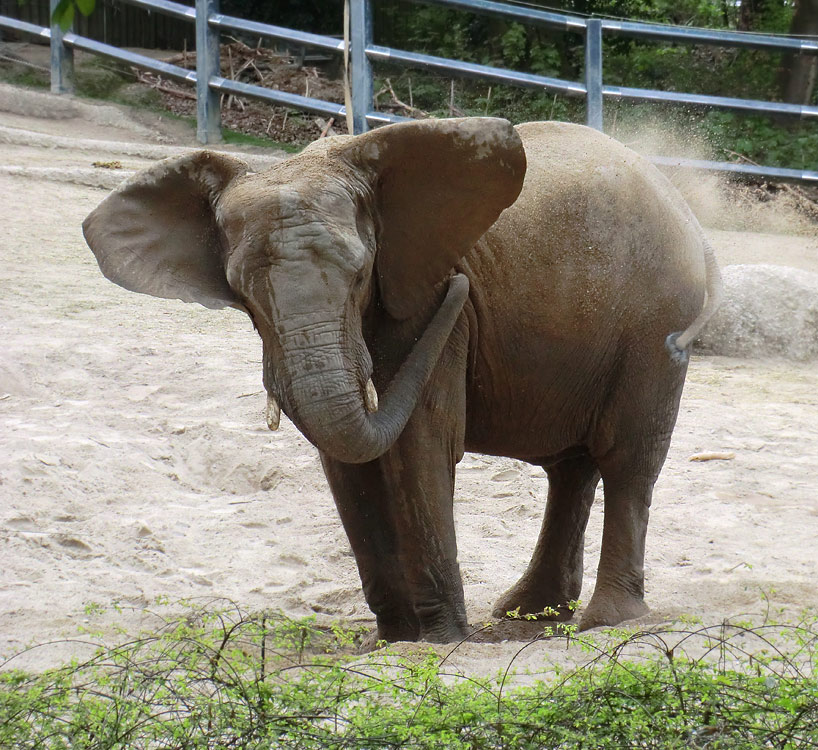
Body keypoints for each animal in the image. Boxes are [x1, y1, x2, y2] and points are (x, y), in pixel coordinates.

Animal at [83, 117, 720, 648]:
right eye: (240, 290)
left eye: (362, 272)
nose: (463, 284)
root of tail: (683, 207)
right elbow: (348, 465)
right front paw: (391, 641)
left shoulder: (431, 304)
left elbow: (419, 446)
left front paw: (440, 641)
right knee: (571, 466)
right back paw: (527, 615)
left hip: (654, 328)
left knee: (626, 460)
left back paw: (605, 621)